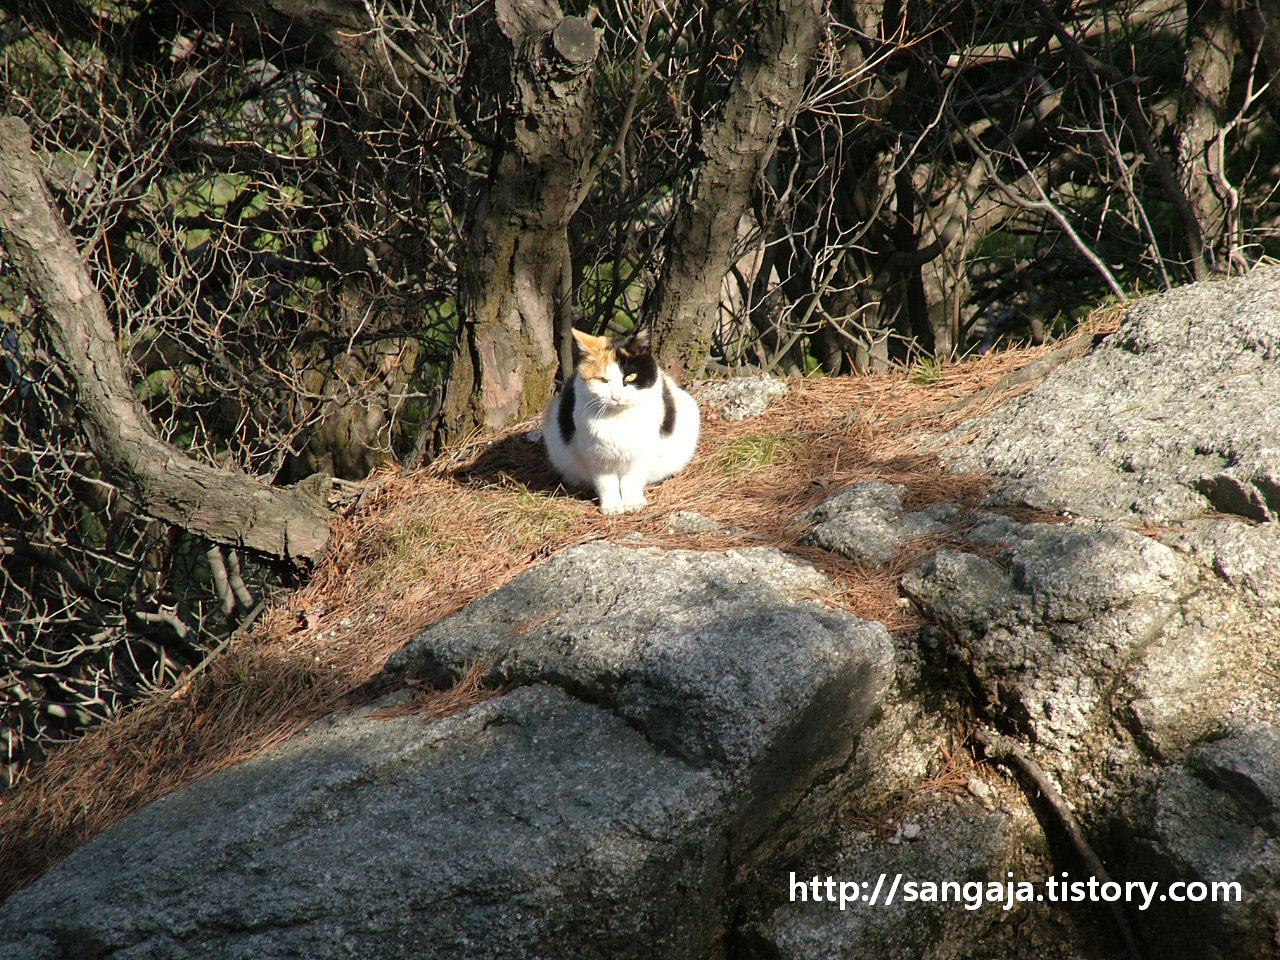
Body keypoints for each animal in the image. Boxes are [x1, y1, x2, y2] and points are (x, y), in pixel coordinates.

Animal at [540, 327, 701, 514]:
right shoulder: (596, 457)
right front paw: (611, 507)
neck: (619, 419)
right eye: (602, 380)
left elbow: (632, 481)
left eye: (630, 376)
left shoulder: (642, 454)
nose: (616, 397)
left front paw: (633, 503)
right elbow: (606, 484)